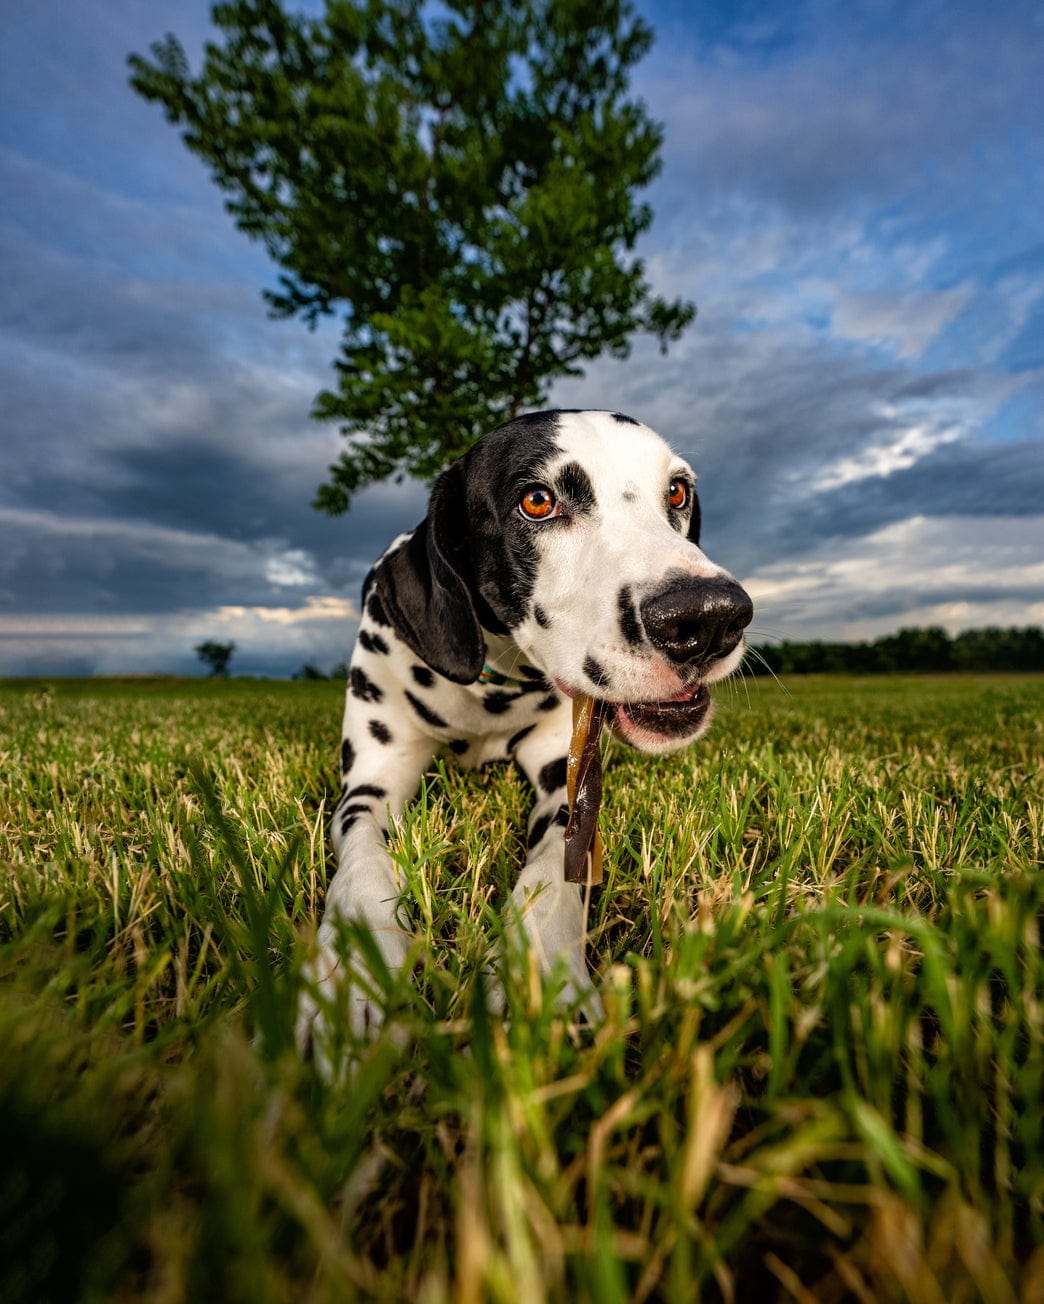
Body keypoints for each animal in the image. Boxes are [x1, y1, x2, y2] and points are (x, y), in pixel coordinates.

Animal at [293, 406, 750, 1058]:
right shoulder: (369, 785)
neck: (489, 693)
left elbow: (552, 869)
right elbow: (362, 860)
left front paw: (536, 973)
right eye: (537, 501)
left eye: (676, 492)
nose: (710, 616)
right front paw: (352, 973)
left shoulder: (568, 782)